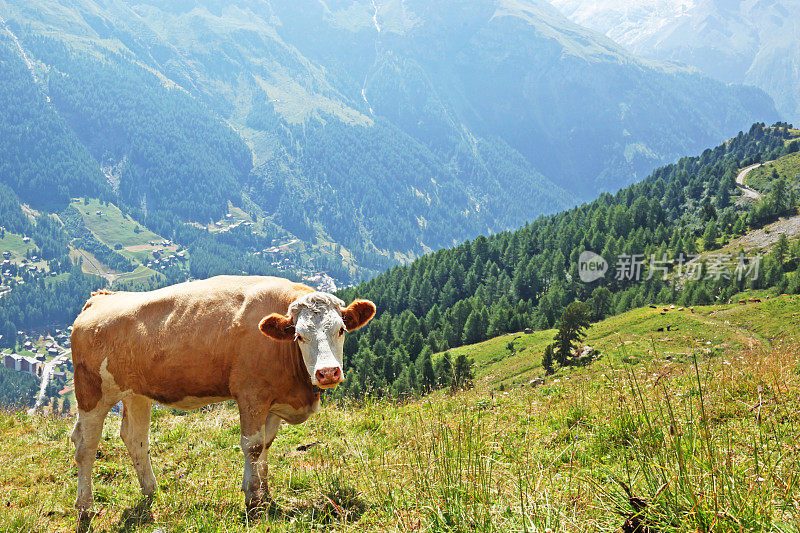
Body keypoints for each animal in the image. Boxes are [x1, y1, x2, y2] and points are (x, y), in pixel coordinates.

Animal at [69, 272, 376, 512]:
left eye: (341, 329)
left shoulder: (273, 400)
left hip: (135, 393)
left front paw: (265, 492)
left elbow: (266, 444)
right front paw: (252, 498)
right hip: (91, 392)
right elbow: (253, 445)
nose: (328, 372)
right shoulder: (251, 394)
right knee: (86, 445)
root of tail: (100, 298)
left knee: (135, 439)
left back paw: (150, 491)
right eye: (299, 335)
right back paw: (85, 505)